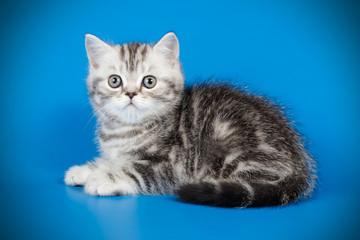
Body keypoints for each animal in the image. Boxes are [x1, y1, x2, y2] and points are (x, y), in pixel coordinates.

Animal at [64, 32, 316, 208]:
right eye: (115, 81)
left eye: (149, 81)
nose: (131, 94)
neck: (125, 130)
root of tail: (300, 167)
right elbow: (113, 161)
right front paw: (86, 170)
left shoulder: (173, 166)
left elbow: (136, 170)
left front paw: (103, 179)